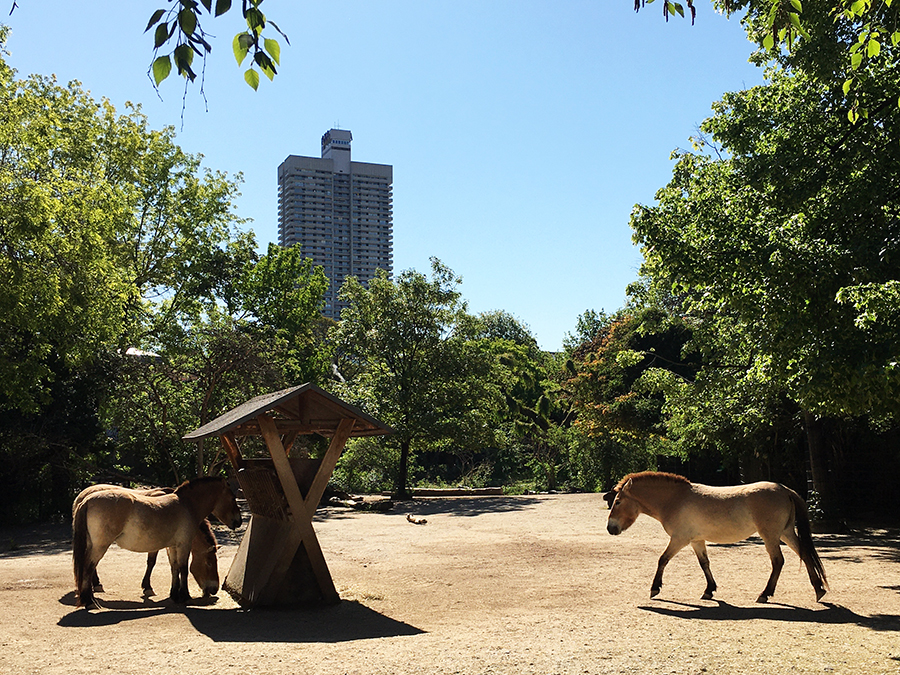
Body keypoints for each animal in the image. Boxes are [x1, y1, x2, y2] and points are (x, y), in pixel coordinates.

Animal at [72, 476, 243, 612]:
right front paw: (185, 595)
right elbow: (183, 569)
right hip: (100, 546)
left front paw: (174, 594)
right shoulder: (183, 545)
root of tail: (86, 500)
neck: (186, 505)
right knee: (88, 567)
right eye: (209, 563)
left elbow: (174, 568)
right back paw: (90, 601)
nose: (239, 521)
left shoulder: (172, 546)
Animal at [604, 472, 828, 604]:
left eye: (618, 501)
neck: (675, 499)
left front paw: (655, 588)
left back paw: (764, 594)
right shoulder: (696, 541)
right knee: (805, 554)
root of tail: (785, 489)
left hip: (771, 536)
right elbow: (705, 564)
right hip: (786, 533)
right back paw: (818, 590)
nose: (610, 528)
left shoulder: (679, 539)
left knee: (778, 561)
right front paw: (709, 591)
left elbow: (662, 559)